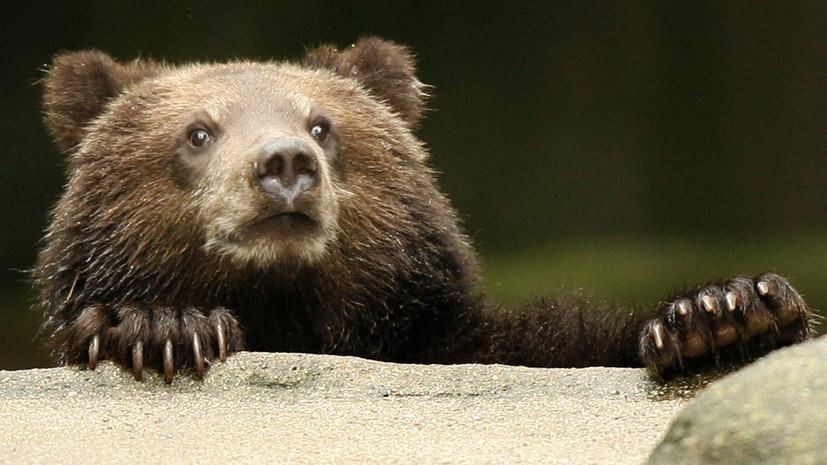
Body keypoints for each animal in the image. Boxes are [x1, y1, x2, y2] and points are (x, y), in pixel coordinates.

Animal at [35, 39, 812, 380]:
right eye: (199, 131)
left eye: (322, 125)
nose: (285, 165)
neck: (291, 314)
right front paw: (160, 327)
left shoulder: (455, 343)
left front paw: (721, 313)